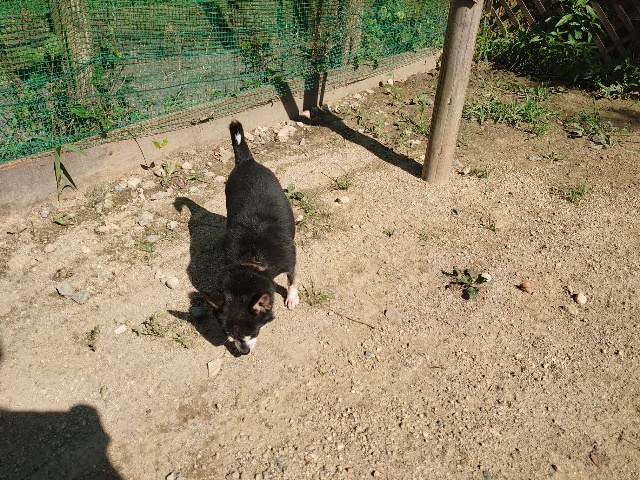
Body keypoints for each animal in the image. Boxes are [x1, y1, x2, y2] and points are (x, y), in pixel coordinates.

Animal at [203, 120, 299, 355]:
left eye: (254, 332)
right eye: (229, 337)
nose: (244, 352)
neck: (252, 261)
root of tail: (246, 161)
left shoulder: (290, 260)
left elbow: (292, 279)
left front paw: (292, 297)